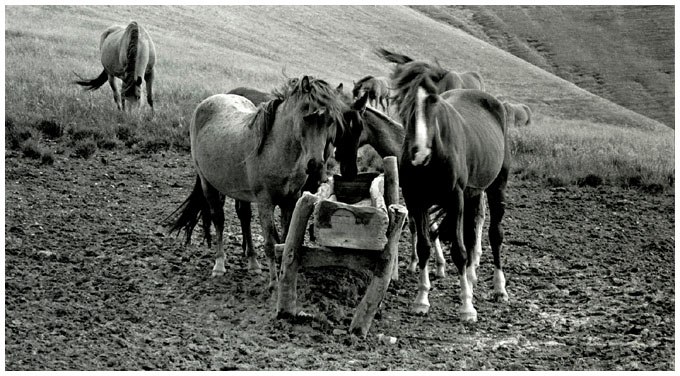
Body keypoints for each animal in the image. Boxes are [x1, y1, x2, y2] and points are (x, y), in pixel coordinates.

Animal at [165, 75, 346, 290]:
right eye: (307, 116)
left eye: (330, 121)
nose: (316, 165)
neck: (275, 150)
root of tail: (209, 101)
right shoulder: (265, 202)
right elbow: (269, 243)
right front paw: (274, 283)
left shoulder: (290, 201)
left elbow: (286, 240)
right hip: (208, 184)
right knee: (218, 219)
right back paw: (219, 265)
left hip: (241, 191)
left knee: (244, 217)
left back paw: (252, 263)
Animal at [382, 57, 510, 322]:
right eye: (405, 100)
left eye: (433, 100)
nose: (419, 154)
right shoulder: (415, 199)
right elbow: (423, 246)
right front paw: (421, 300)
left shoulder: (455, 198)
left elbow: (459, 252)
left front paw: (467, 307)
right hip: (473, 193)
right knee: (472, 232)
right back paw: (471, 277)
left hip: (496, 186)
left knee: (494, 234)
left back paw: (499, 288)